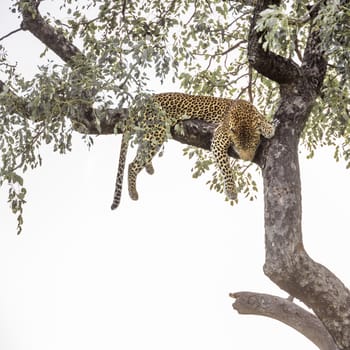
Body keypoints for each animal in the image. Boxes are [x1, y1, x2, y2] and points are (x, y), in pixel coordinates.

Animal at [110, 91, 278, 209]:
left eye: (253, 146)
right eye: (239, 146)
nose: (246, 159)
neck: (244, 115)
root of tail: (150, 98)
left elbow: (263, 120)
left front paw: (269, 128)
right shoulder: (218, 139)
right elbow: (226, 168)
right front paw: (231, 191)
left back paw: (149, 167)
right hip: (157, 130)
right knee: (133, 164)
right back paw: (133, 192)